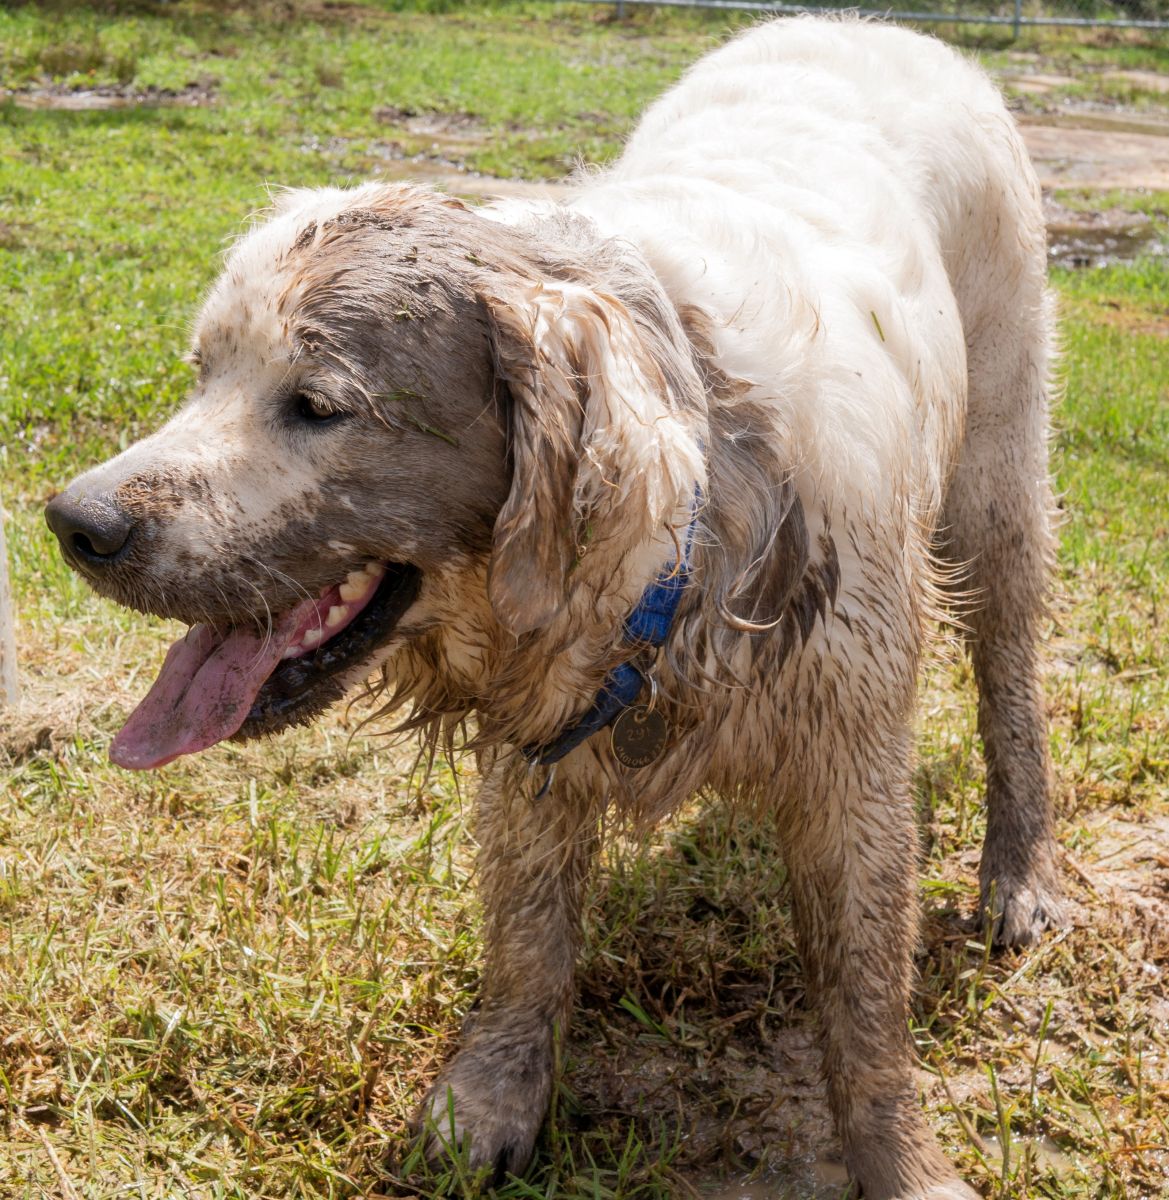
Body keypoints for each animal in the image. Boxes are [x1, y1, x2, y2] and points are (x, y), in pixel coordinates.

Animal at [48, 18, 1070, 1200]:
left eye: (316, 405)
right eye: (201, 372)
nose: (75, 522)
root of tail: (872, 27)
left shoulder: (850, 753)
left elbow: (862, 1002)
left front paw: (900, 1163)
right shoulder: (536, 741)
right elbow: (528, 940)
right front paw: (491, 1099)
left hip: (996, 478)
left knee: (1009, 676)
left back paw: (1020, 874)